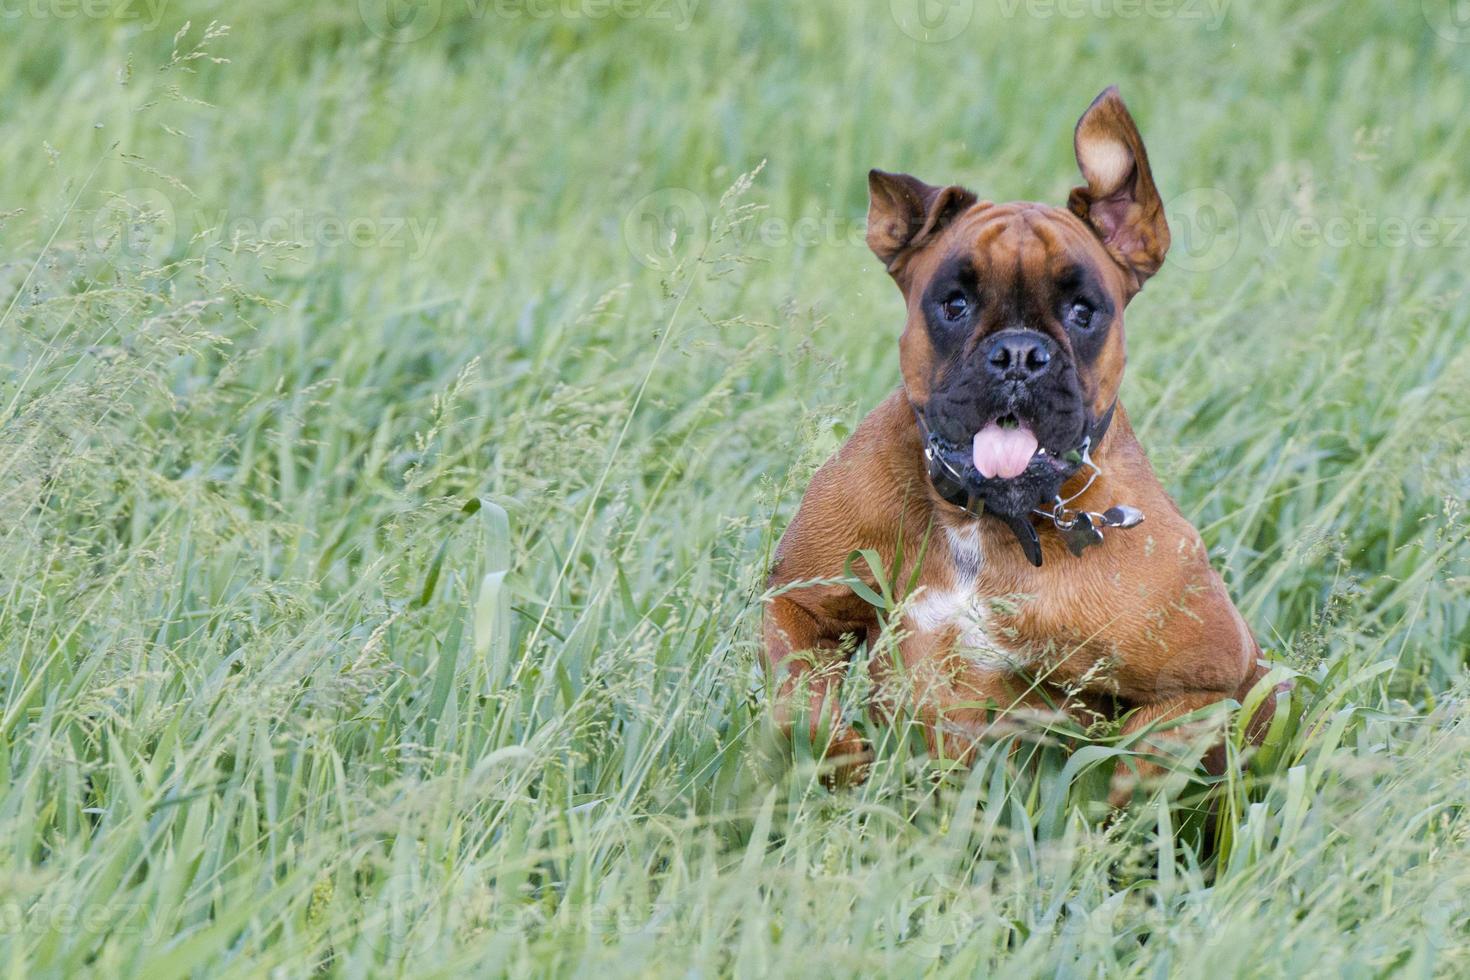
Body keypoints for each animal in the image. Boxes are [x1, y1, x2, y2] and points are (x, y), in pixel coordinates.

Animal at [764, 86, 1281, 805]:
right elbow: (804, 711)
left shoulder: (1211, 678)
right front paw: (847, 768)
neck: (984, 518)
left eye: (1083, 311)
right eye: (953, 303)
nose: (1017, 354)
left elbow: (1128, 767)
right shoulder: (794, 605)